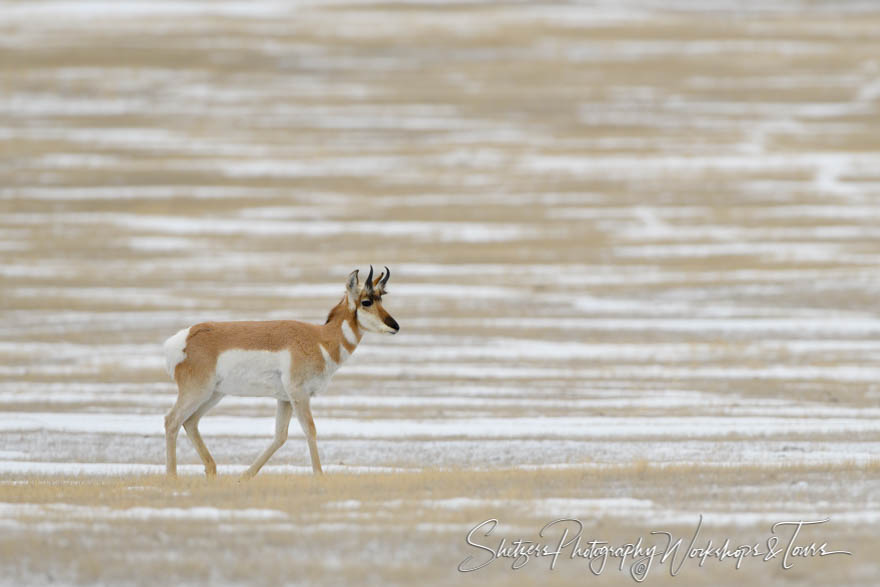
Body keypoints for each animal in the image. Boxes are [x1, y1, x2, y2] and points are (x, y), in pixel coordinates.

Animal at [162, 266, 398, 478]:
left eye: (381, 299)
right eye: (366, 301)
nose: (395, 326)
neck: (319, 339)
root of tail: (184, 338)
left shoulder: (285, 399)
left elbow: (280, 436)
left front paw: (245, 476)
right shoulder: (299, 394)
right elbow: (310, 429)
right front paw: (319, 475)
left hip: (214, 394)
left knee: (190, 422)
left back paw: (211, 470)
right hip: (197, 392)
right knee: (172, 420)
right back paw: (172, 476)